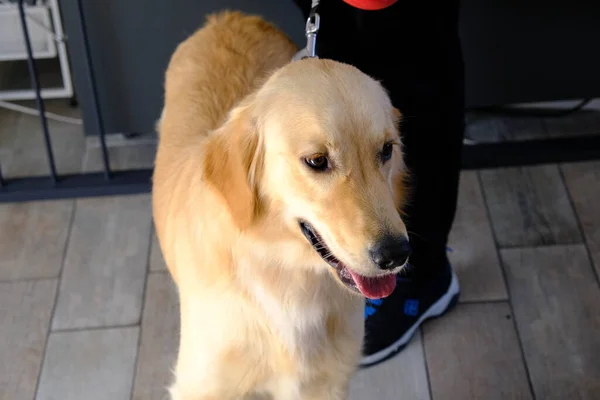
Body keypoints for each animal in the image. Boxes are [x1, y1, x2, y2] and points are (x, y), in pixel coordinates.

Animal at [152, 8, 410, 400]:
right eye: (317, 161)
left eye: (386, 150)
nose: (395, 254)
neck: (286, 279)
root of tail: (228, 17)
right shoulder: (203, 385)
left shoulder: (325, 383)